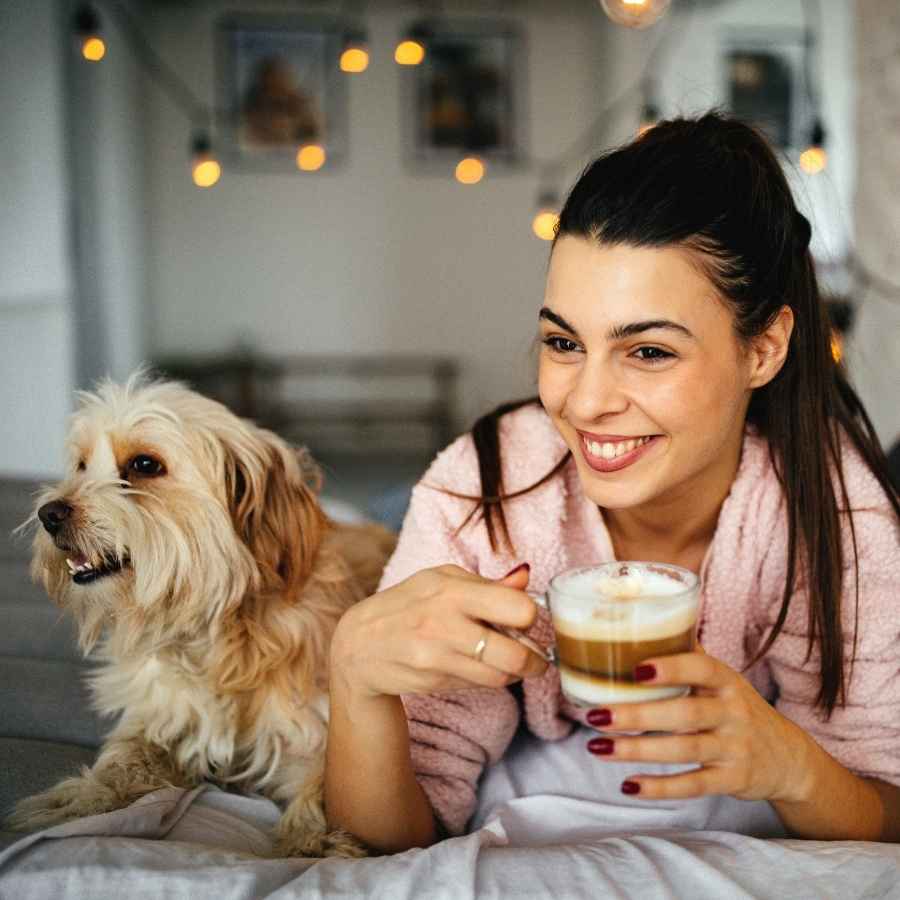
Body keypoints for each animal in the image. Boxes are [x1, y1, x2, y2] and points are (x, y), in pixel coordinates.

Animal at [5, 370, 396, 856]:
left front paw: (315, 841)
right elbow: (126, 754)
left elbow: (324, 785)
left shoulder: (317, 732)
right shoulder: (163, 713)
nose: (49, 514)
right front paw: (84, 796)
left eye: (144, 465)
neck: (215, 629)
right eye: (81, 465)